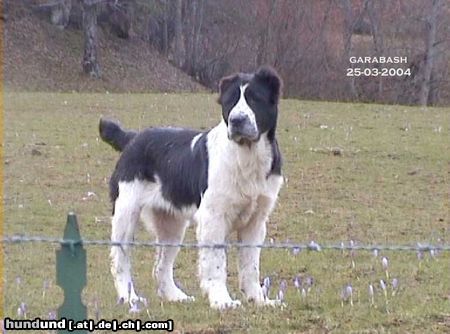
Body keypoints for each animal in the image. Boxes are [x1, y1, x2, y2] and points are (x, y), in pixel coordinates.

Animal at [101, 66, 284, 310]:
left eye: (255, 99)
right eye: (230, 101)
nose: (236, 120)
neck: (246, 156)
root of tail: (133, 138)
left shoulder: (256, 221)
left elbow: (251, 266)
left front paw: (259, 300)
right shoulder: (213, 218)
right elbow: (216, 263)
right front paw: (222, 300)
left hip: (171, 225)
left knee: (161, 266)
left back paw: (174, 296)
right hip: (125, 213)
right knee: (120, 260)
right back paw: (129, 298)